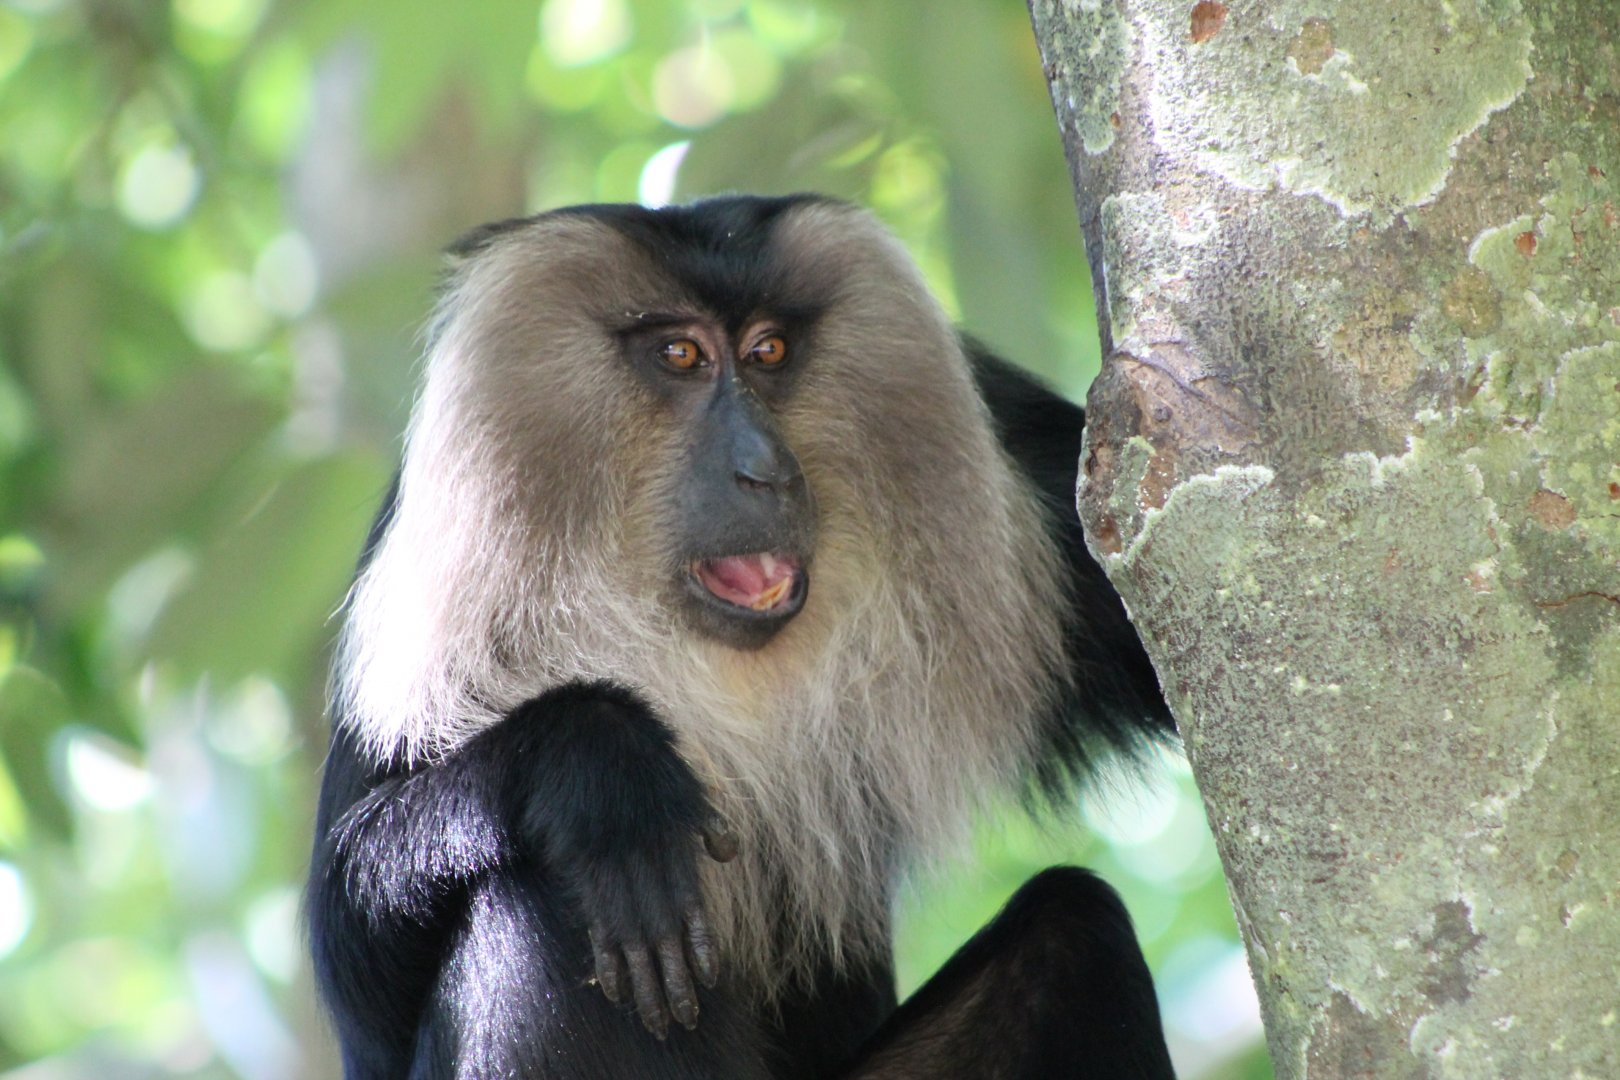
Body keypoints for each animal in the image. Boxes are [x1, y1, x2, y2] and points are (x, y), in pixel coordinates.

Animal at [307, 194, 1178, 1079]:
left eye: (769, 351)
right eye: (681, 354)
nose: (766, 469)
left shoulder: (1035, 483)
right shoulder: (419, 612)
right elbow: (352, 967)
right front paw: (599, 762)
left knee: (1075, 929)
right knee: (538, 897)